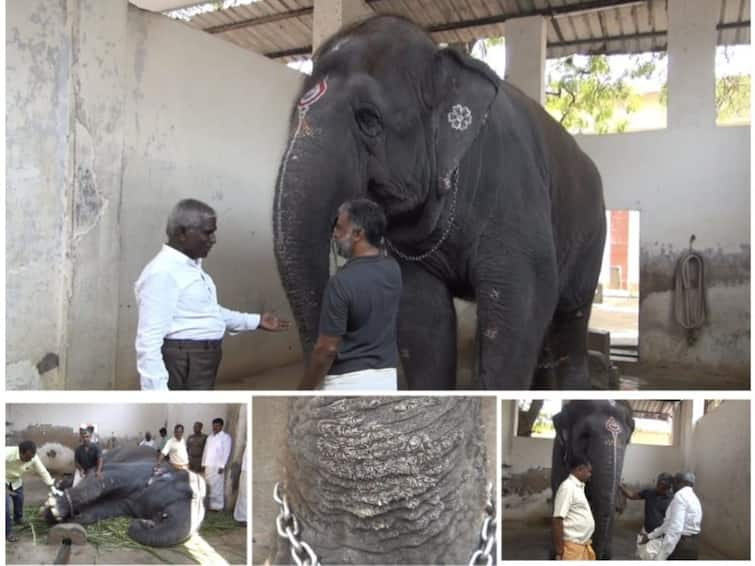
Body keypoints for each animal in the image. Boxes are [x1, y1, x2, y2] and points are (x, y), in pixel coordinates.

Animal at [44, 448, 207, 552]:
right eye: (189, 493)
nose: (145, 522)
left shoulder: (131, 503)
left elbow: (108, 507)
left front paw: (72, 518)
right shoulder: (137, 470)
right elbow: (103, 477)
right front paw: (54, 510)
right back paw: (59, 485)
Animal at [274, 14, 604, 390]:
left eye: (369, 118)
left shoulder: (512, 188)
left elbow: (521, 302)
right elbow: (421, 314)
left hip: (592, 232)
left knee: (572, 312)